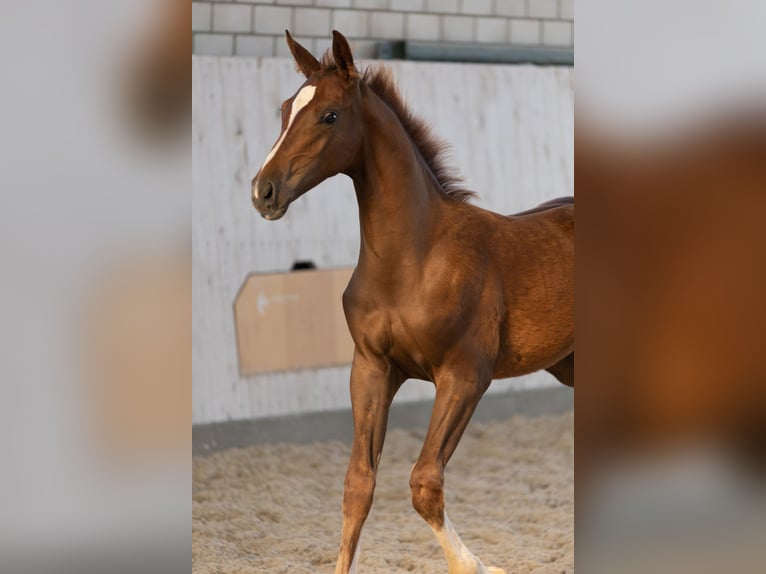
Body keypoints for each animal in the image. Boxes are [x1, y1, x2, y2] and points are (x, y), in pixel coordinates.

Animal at [254, 30, 576, 574]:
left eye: (330, 116)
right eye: (283, 110)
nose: (263, 190)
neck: (414, 259)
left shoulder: (466, 375)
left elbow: (425, 483)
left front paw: (479, 565)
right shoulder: (372, 369)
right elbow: (357, 486)